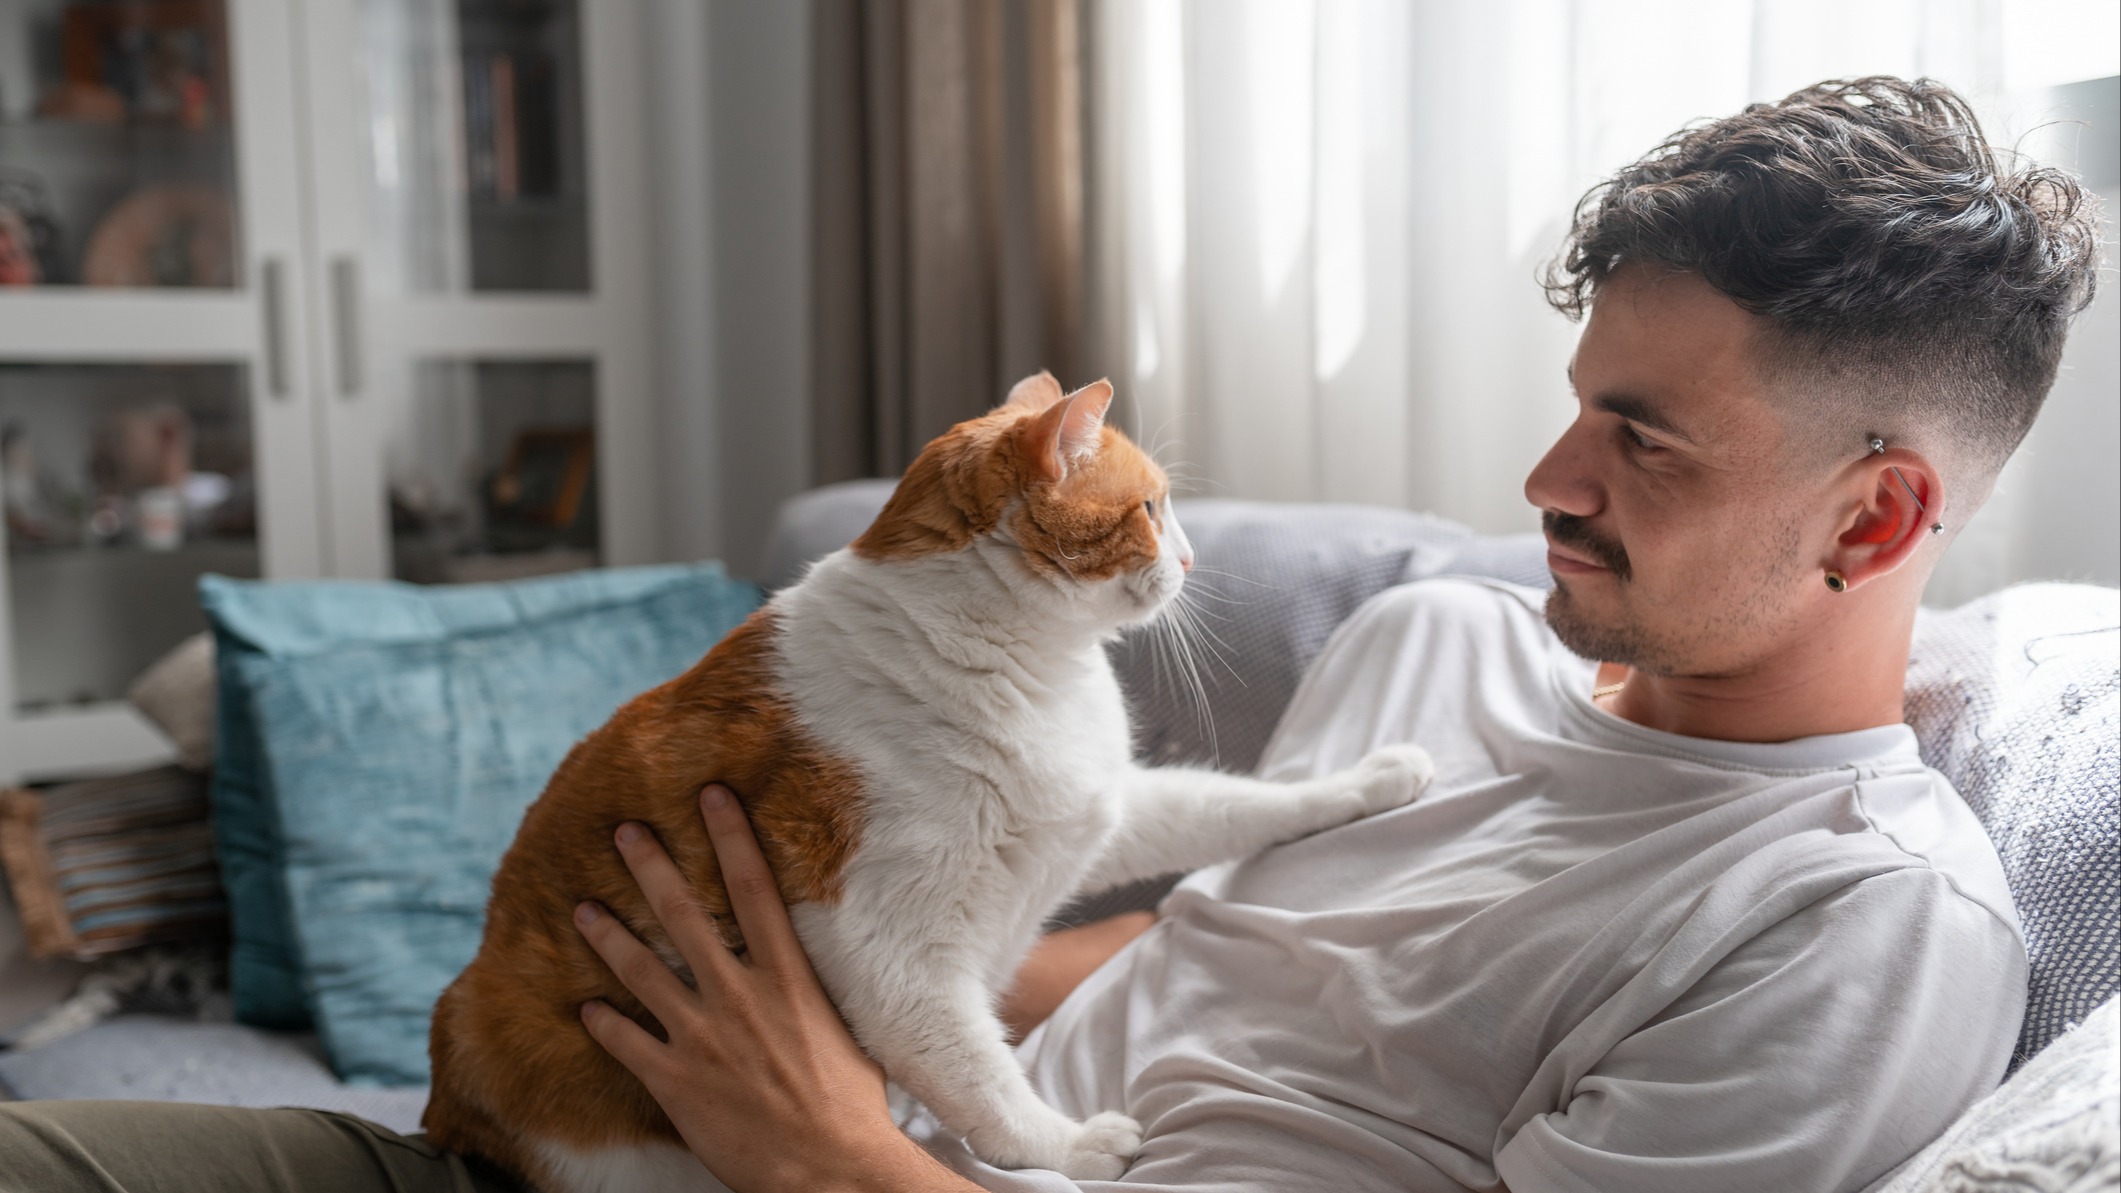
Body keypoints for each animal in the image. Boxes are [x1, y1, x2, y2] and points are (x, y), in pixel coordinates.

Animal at [422, 373, 1433, 1188]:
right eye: (1151, 509)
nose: (1189, 559)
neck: (1028, 667)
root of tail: (446, 1105)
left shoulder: (1099, 811)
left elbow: (1227, 807)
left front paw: (1373, 780)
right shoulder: (889, 948)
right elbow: (980, 1077)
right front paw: (1069, 1146)